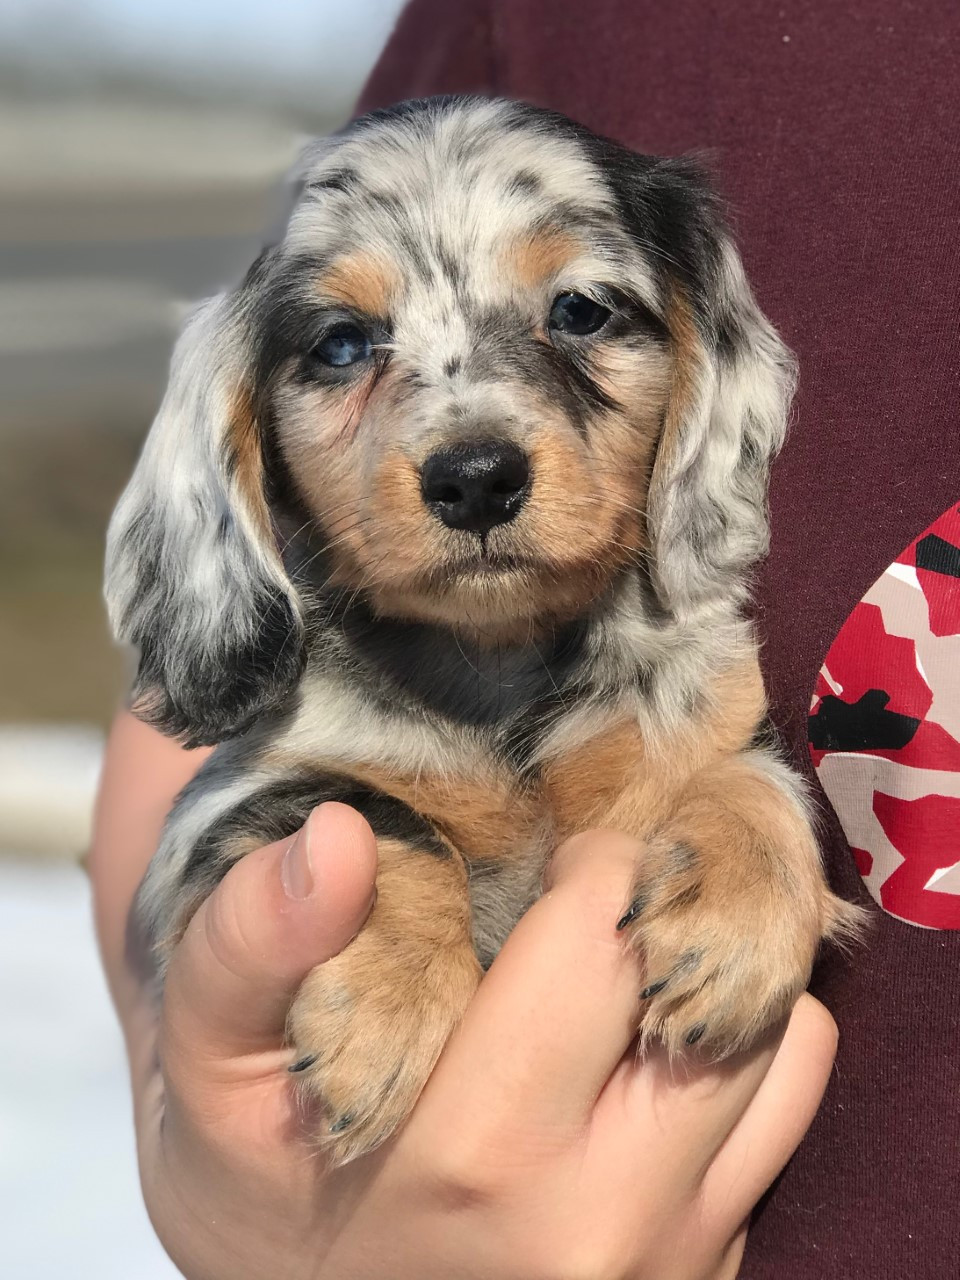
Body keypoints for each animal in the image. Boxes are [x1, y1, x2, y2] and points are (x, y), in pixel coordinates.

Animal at [103, 97, 855, 1162]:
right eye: (341, 343)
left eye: (581, 309)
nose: (476, 480)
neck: (500, 669)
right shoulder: (208, 829)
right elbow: (374, 810)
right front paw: (389, 1002)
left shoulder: (708, 721)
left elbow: (748, 774)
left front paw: (738, 913)